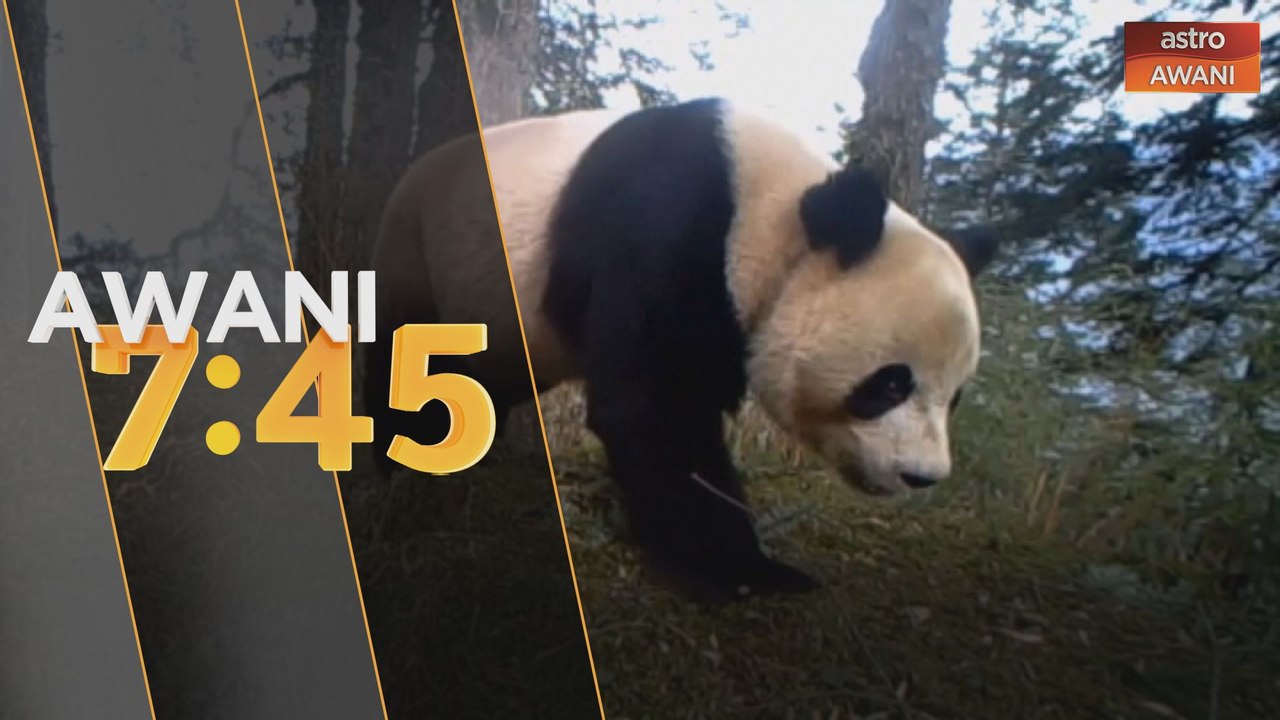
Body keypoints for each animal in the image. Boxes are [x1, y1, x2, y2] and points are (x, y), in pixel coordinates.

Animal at [367, 97, 997, 601]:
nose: (922, 476)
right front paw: (745, 573)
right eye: (890, 383)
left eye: (955, 397)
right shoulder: (663, 228)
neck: (770, 214)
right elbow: (652, 411)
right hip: (417, 249)